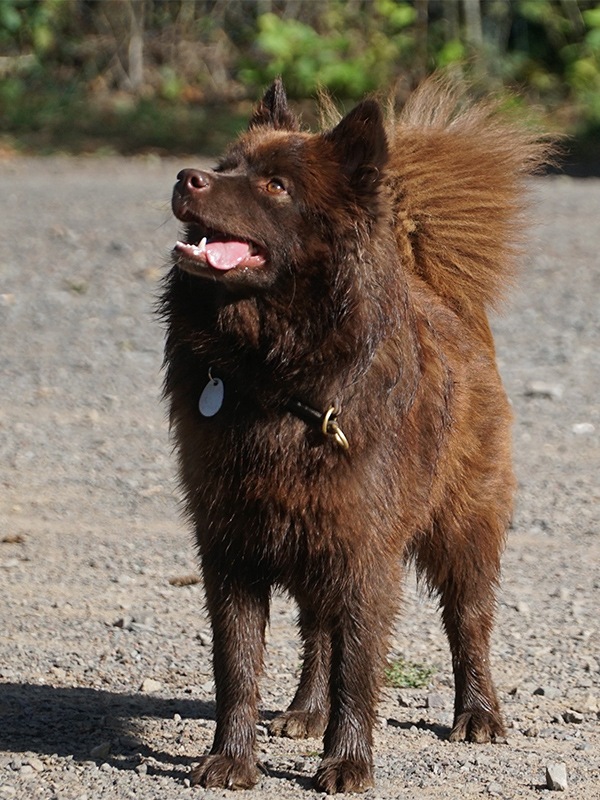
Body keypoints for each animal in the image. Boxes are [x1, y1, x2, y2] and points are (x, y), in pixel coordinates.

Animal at [161, 78, 548, 792]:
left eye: (277, 186)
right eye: (227, 165)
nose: (186, 176)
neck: (273, 380)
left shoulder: (366, 549)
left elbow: (360, 665)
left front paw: (347, 762)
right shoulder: (232, 544)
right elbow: (237, 665)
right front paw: (231, 758)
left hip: (462, 526)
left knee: (469, 622)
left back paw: (478, 714)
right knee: (319, 630)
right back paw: (305, 710)